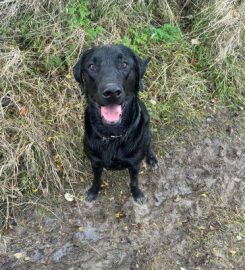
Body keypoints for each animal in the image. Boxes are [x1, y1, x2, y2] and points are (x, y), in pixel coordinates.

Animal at [73, 44, 157, 202]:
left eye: (124, 64)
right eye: (91, 66)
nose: (111, 92)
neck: (112, 136)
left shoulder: (134, 164)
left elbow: (134, 181)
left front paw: (137, 194)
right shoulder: (95, 162)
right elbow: (97, 179)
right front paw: (93, 192)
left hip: (147, 127)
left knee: (149, 143)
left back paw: (152, 159)